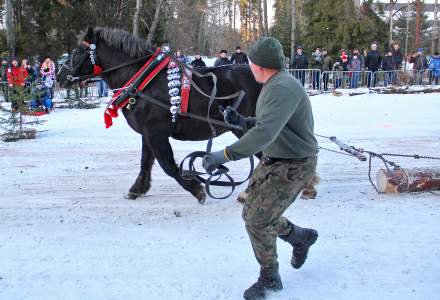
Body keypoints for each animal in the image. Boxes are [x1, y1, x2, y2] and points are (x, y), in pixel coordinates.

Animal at [57, 28, 264, 203]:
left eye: (77, 52)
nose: (59, 76)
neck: (143, 81)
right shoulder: (147, 133)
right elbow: (145, 162)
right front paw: (137, 189)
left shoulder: (156, 133)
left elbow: (168, 165)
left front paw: (196, 189)